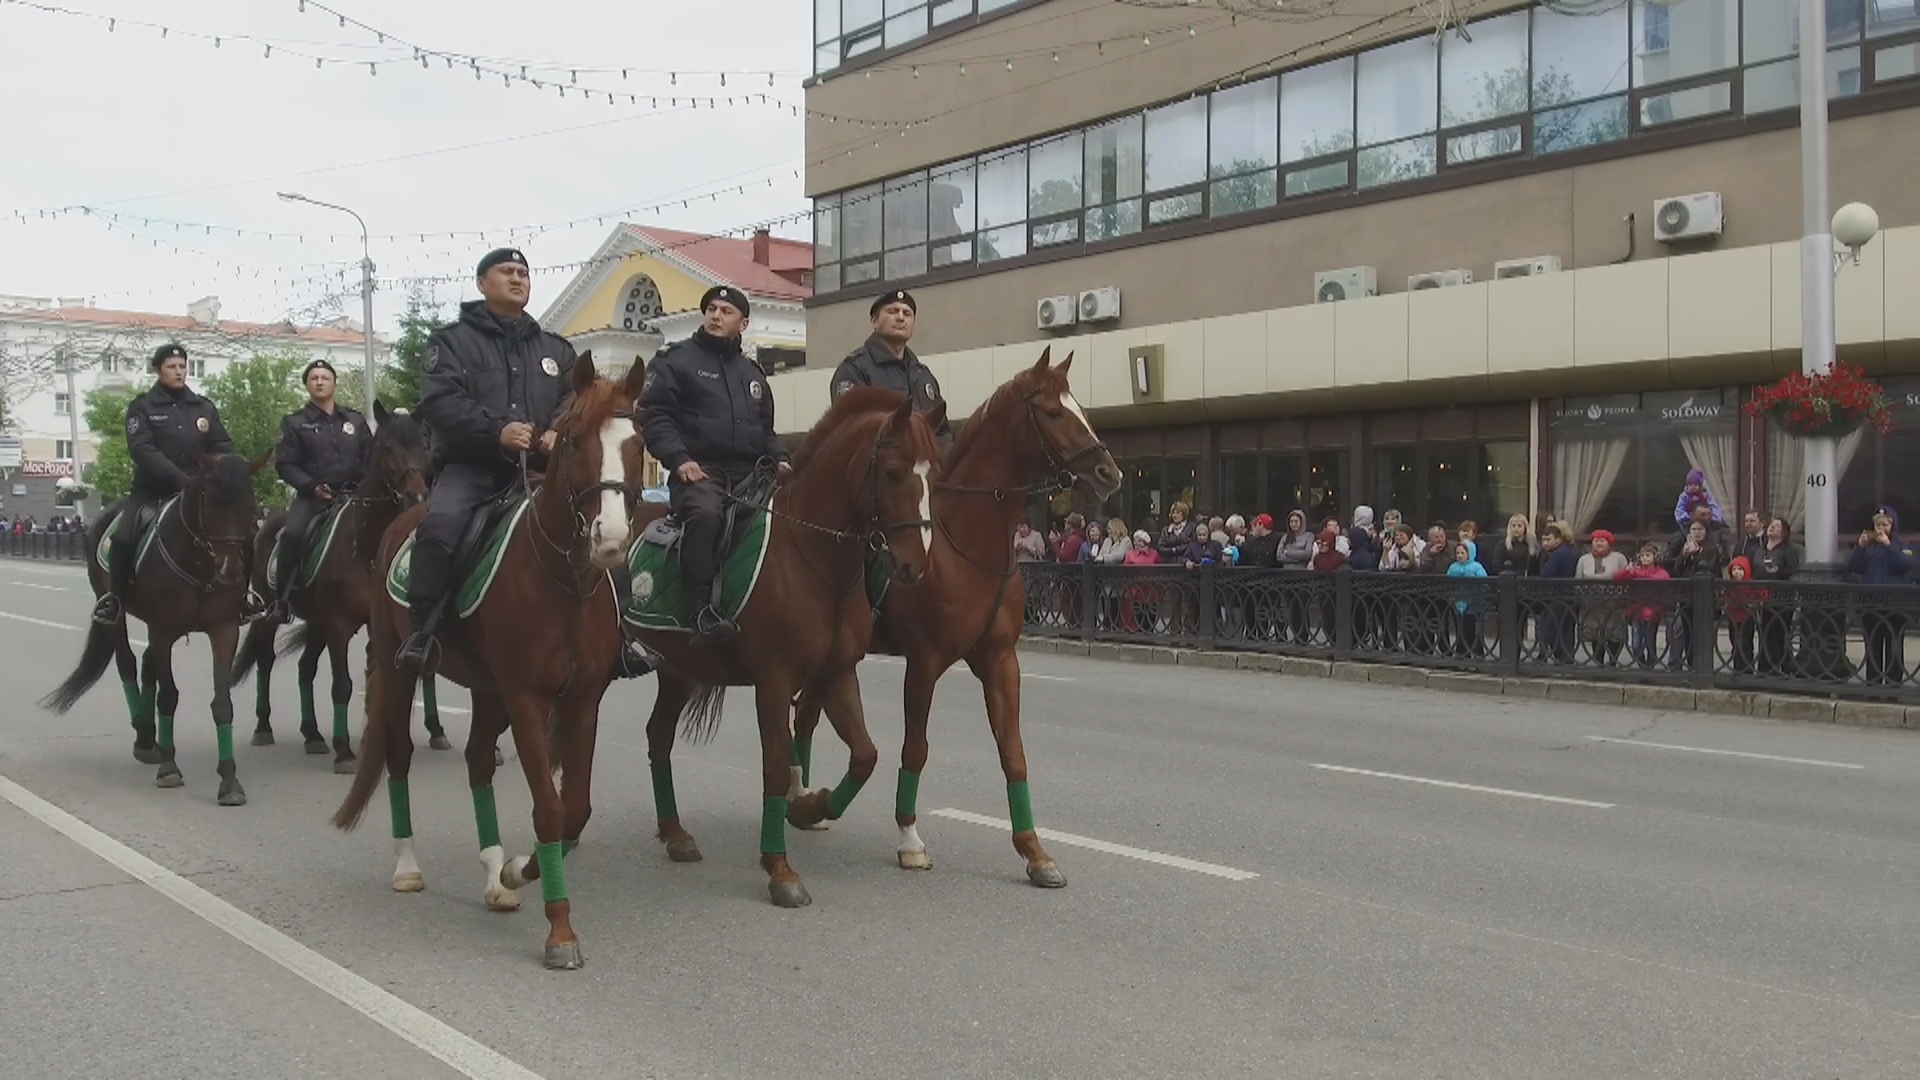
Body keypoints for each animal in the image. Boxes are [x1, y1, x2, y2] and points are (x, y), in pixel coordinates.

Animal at [42, 443, 274, 799]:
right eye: (212, 500)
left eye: (250, 504)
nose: (231, 569)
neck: (199, 564)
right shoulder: (162, 629)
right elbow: (168, 696)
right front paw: (169, 767)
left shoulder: (223, 630)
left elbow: (222, 702)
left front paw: (229, 779)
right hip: (117, 613)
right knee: (127, 662)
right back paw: (144, 736)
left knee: (148, 665)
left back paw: (151, 739)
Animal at [230, 399, 433, 768]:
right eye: (388, 447)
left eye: (423, 446)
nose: (416, 496)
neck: (364, 545)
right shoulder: (339, 625)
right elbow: (343, 685)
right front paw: (344, 752)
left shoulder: (370, 625)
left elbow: (373, 682)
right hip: (273, 615)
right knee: (266, 661)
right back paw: (264, 727)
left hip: (316, 621)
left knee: (304, 668)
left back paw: (312, 735)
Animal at [324, 351, 637, 968]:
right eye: (574, 440)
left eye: (637, 443)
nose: (610, 538)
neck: (561, 582)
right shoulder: (527, 698)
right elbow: (549, 809)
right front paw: (560, 930)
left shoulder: (581, 701)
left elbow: (575, 809)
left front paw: (518, 871)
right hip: (398, 670)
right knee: (398, 756)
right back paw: (407, 866)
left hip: (486, 689)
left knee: (475, 762)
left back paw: (495, 876)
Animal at [637, 386, 936, 907]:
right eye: (895, 472)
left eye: (931, 475)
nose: (913, 566)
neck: (812, 557)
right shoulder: (774, 682)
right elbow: (776, 767)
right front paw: (779, 868)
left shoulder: (836, 672)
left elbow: (865, 756)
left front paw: (809, 808)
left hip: (675, 670)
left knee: (659, 736)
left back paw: (675, 835)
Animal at [787, 349, 1121, 880]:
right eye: (1053, 413)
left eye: (1080, 408)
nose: (1110, 474)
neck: (964, 544)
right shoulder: (924, 663)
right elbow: (915, 748)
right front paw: (909, 836)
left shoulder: (1000, 662)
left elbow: (1013, 753)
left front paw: (1033, 850)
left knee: (805, 718)